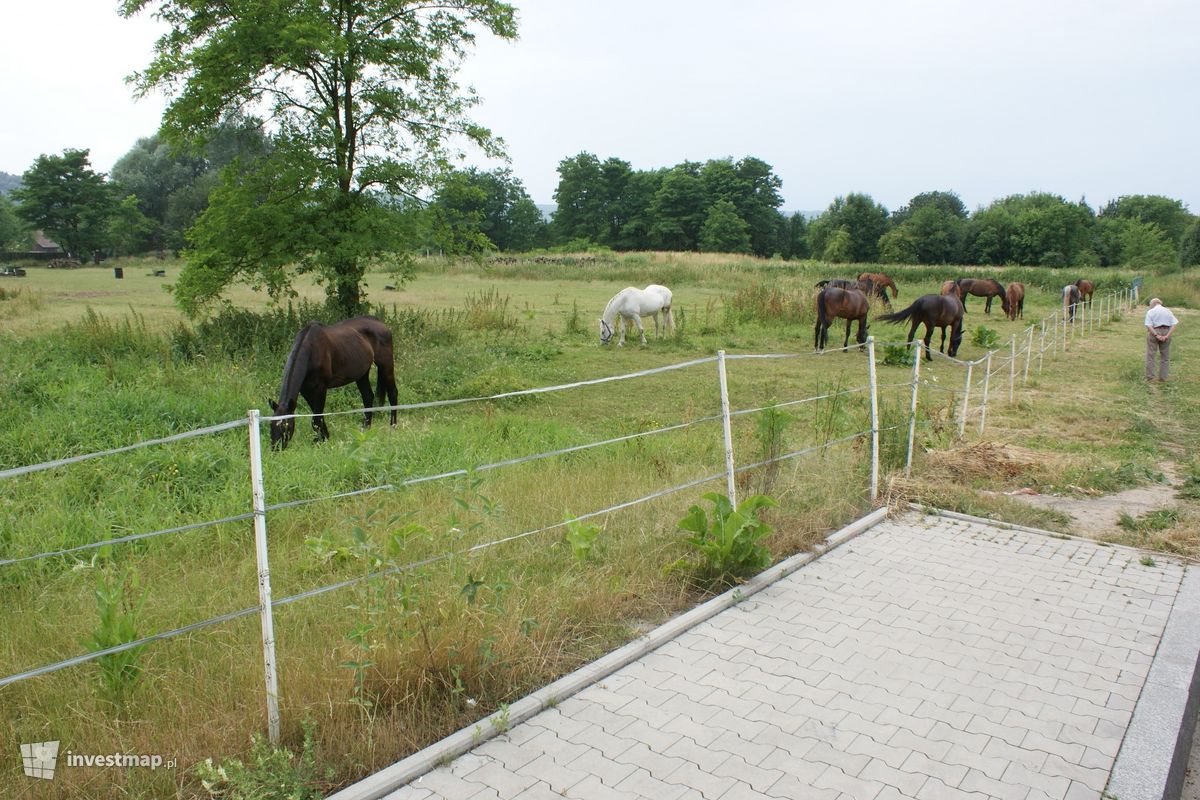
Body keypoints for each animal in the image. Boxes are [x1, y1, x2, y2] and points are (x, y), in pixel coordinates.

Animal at [270, 314, 400, 450]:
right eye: (271, 425)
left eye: (286, 426)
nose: (275, 449)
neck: (311, 350)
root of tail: (380, 323)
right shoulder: (306, 390)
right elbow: (317, 416)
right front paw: (323, 437)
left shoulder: (320, 388)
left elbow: (317, 417)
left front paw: (320, 441)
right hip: (362, 374)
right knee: (368, 397)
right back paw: (365, 429)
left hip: (386, 365)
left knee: (393, 394)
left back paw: (393, 426)